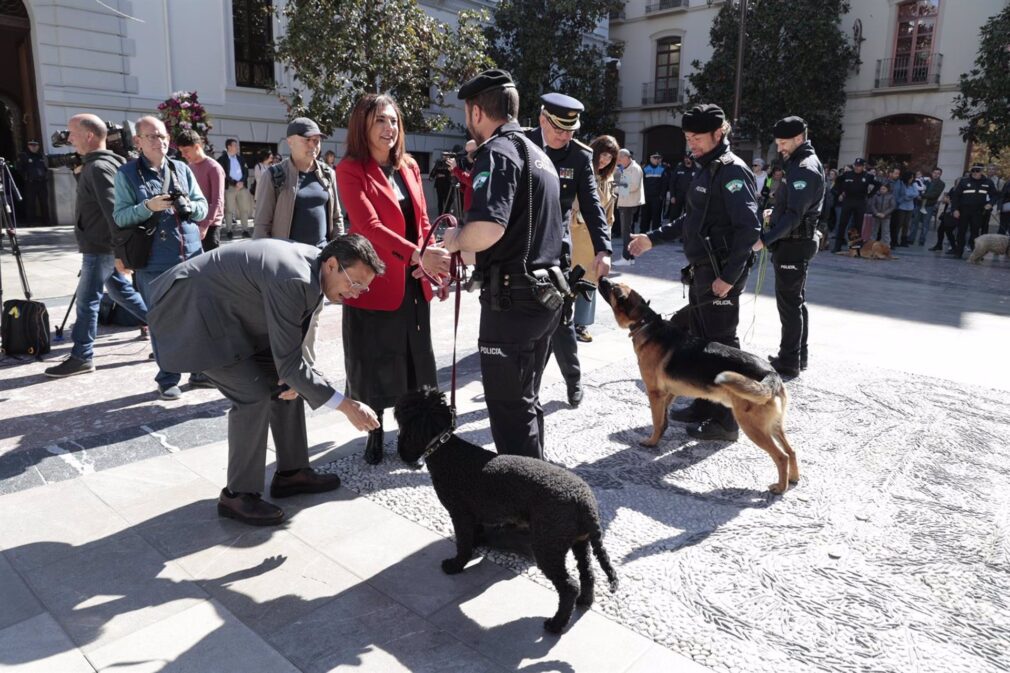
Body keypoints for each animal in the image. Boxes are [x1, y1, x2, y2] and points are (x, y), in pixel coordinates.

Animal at [391, 386, 614, 630]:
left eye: (402, 410)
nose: (395, 404)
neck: (446, 451)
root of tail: (585, 503)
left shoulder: (460, 514)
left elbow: (463, 544)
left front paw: (456, 565)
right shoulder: (474, 514)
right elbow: (473, 537)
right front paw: (477, 545)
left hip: (548, 545)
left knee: (569, 586)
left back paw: (556, 624)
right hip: (579, 542)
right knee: (587, 573)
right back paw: (584, 601)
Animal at [593, 276, 799, 493]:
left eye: (614, 288)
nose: (602, 277)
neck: (645, 322)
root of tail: (771, 373)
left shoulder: (655, 393)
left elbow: (656, 421)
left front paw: (652, 442)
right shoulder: (669, 393)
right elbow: (663, 419)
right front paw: (660, 436)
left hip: (752, 426)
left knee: (781, 456)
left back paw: (780, 487)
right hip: (774, 426)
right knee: (791, 451)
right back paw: (793, 478)